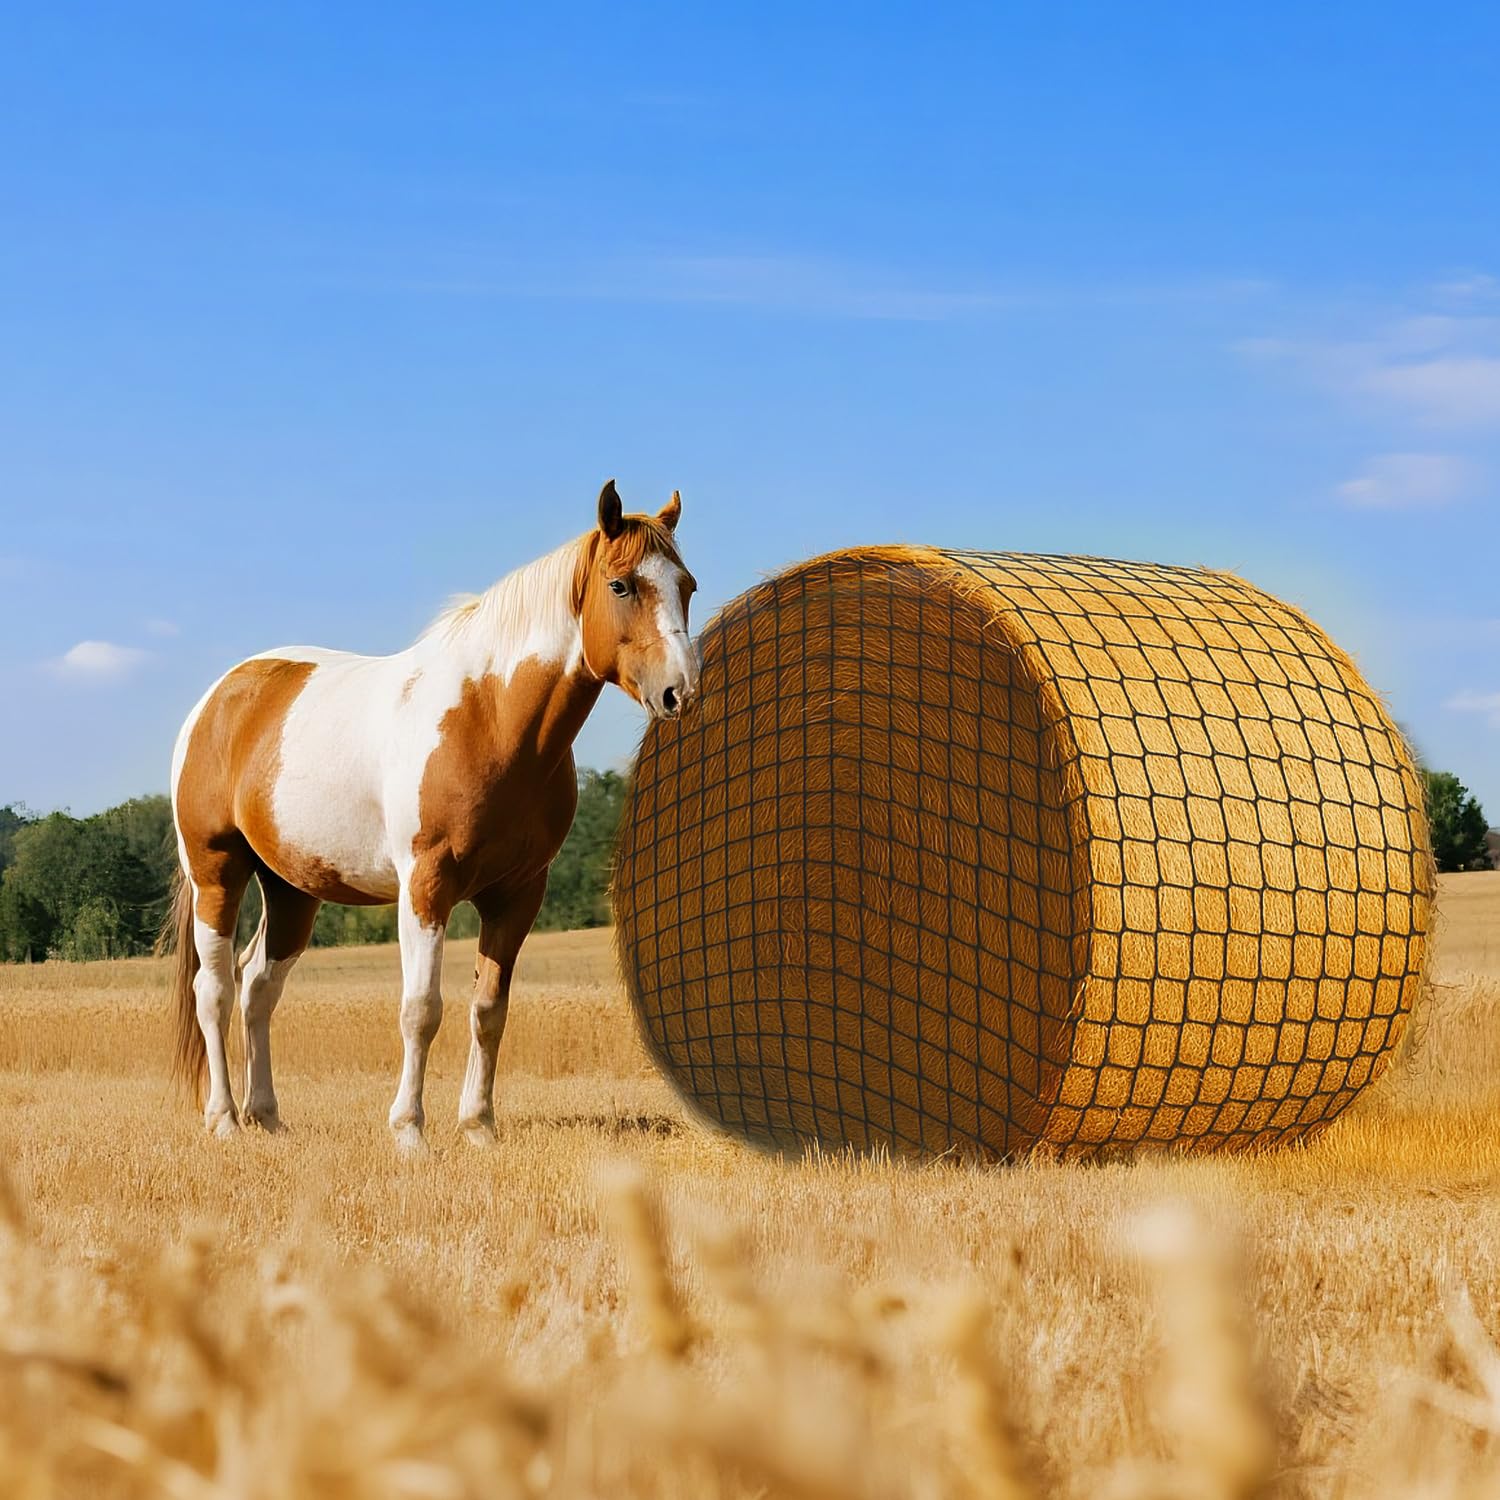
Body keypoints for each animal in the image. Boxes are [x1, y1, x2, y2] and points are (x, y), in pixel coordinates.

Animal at [165, 480, 698, 1151]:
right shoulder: (426, 885)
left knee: (259, 987)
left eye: (687, 585)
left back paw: (267, 1115)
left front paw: (478, 1127)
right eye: (622, 585)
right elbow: (421, 1010)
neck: (489, 718)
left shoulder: (517, 895)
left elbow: (489, 1011)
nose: (680, 692)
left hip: (291, 888)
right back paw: (225, 1120)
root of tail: (219, 697)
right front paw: (409, 1131)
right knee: (213, 989)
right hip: (217, 870)